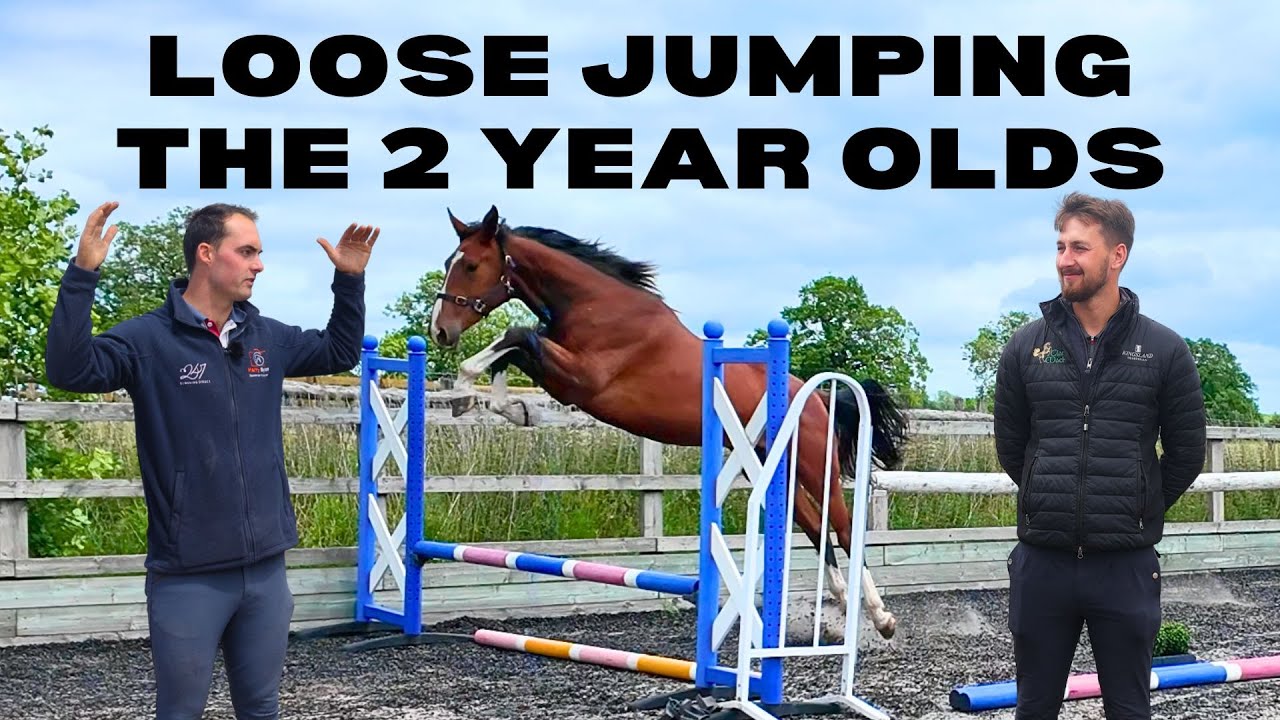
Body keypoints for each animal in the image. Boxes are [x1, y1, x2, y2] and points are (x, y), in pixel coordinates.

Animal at [426, 205, 909, 640]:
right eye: (450, 263)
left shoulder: (583, 379)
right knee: (815, 526)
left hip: (812, 460)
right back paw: (843, 603)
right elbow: (512, 349)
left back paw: (881, 617)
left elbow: (516, 336)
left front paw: (477, 393)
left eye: (471, 265)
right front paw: (511, 409)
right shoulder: (560, 372)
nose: (440, 332)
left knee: (842, 527)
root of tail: (816, 394)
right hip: (773, 463)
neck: (593, 306)